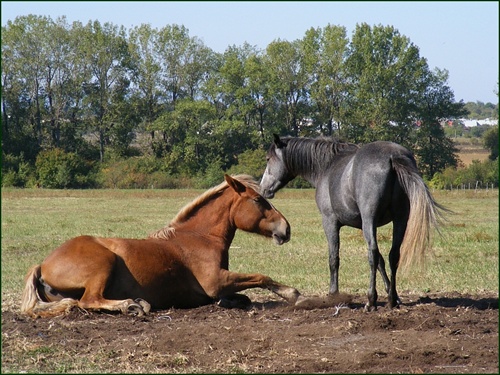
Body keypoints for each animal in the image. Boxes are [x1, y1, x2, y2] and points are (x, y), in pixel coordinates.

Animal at [20, 175, 300, 318]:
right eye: (258, 200)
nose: (285, 229)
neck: (200, 237)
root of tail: (42, 264)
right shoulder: (216, 281)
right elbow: (261, 277)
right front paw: (292, 293)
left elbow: (242, 296)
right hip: (103, 264)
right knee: (88, 301)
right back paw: (131, 305)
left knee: (77, 302)